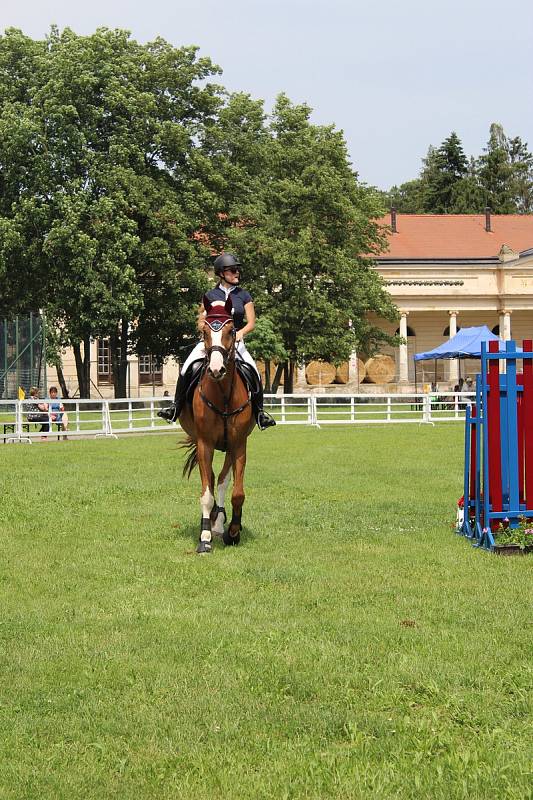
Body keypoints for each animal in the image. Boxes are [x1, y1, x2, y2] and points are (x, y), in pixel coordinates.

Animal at [178, 296, 255, 552]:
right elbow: (206, 492)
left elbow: (236, 492)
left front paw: (233, 531)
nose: (216, 369)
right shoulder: (205, 444)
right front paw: (204, 538)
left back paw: (220, 522)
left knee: (221, 480)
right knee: (211, 480)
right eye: (204, 332)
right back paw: (212, 520)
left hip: (229, 447)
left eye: (231, 331)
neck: (222, 394)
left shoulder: (239, 445)